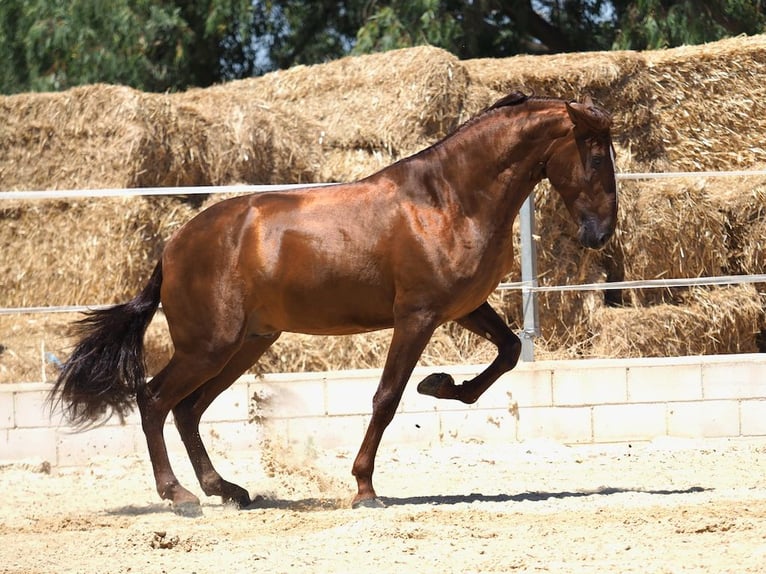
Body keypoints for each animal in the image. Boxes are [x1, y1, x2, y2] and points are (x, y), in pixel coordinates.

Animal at [51, 92, 616, 516]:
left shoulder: (462, 308)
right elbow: (387, 397)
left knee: (187, 409)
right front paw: (365, 489)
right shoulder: (417, 316)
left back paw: (226, 490)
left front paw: (440, 385)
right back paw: (180, 496)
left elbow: (508, 353)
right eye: (594, 155)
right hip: (208, 346)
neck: (449, 201)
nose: (601, 233)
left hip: (246, 345)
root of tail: (172, 248)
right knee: (153, 400)